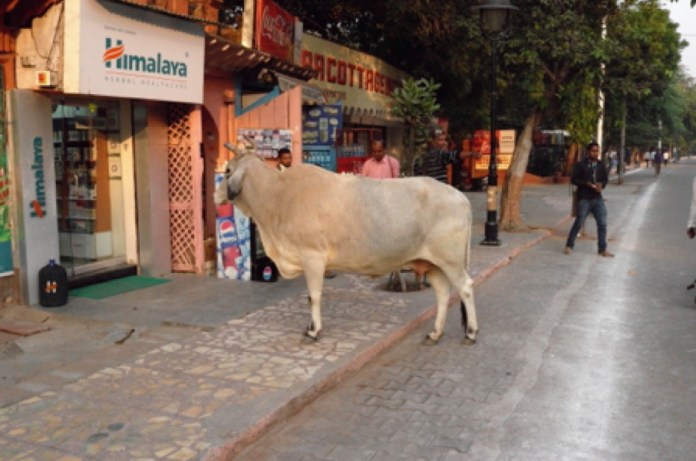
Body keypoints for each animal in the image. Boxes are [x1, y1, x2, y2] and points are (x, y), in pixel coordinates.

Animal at [214, 144, 477, 345]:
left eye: (227, 170)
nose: (216, 196)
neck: (278, 195)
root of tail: (459, 195)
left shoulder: (312, 257)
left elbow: (314, 296)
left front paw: (313, 331)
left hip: (451, 261)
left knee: (465, 288)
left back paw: (471, 333)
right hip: (433, 264)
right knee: (443, 293)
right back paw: (435, 333)